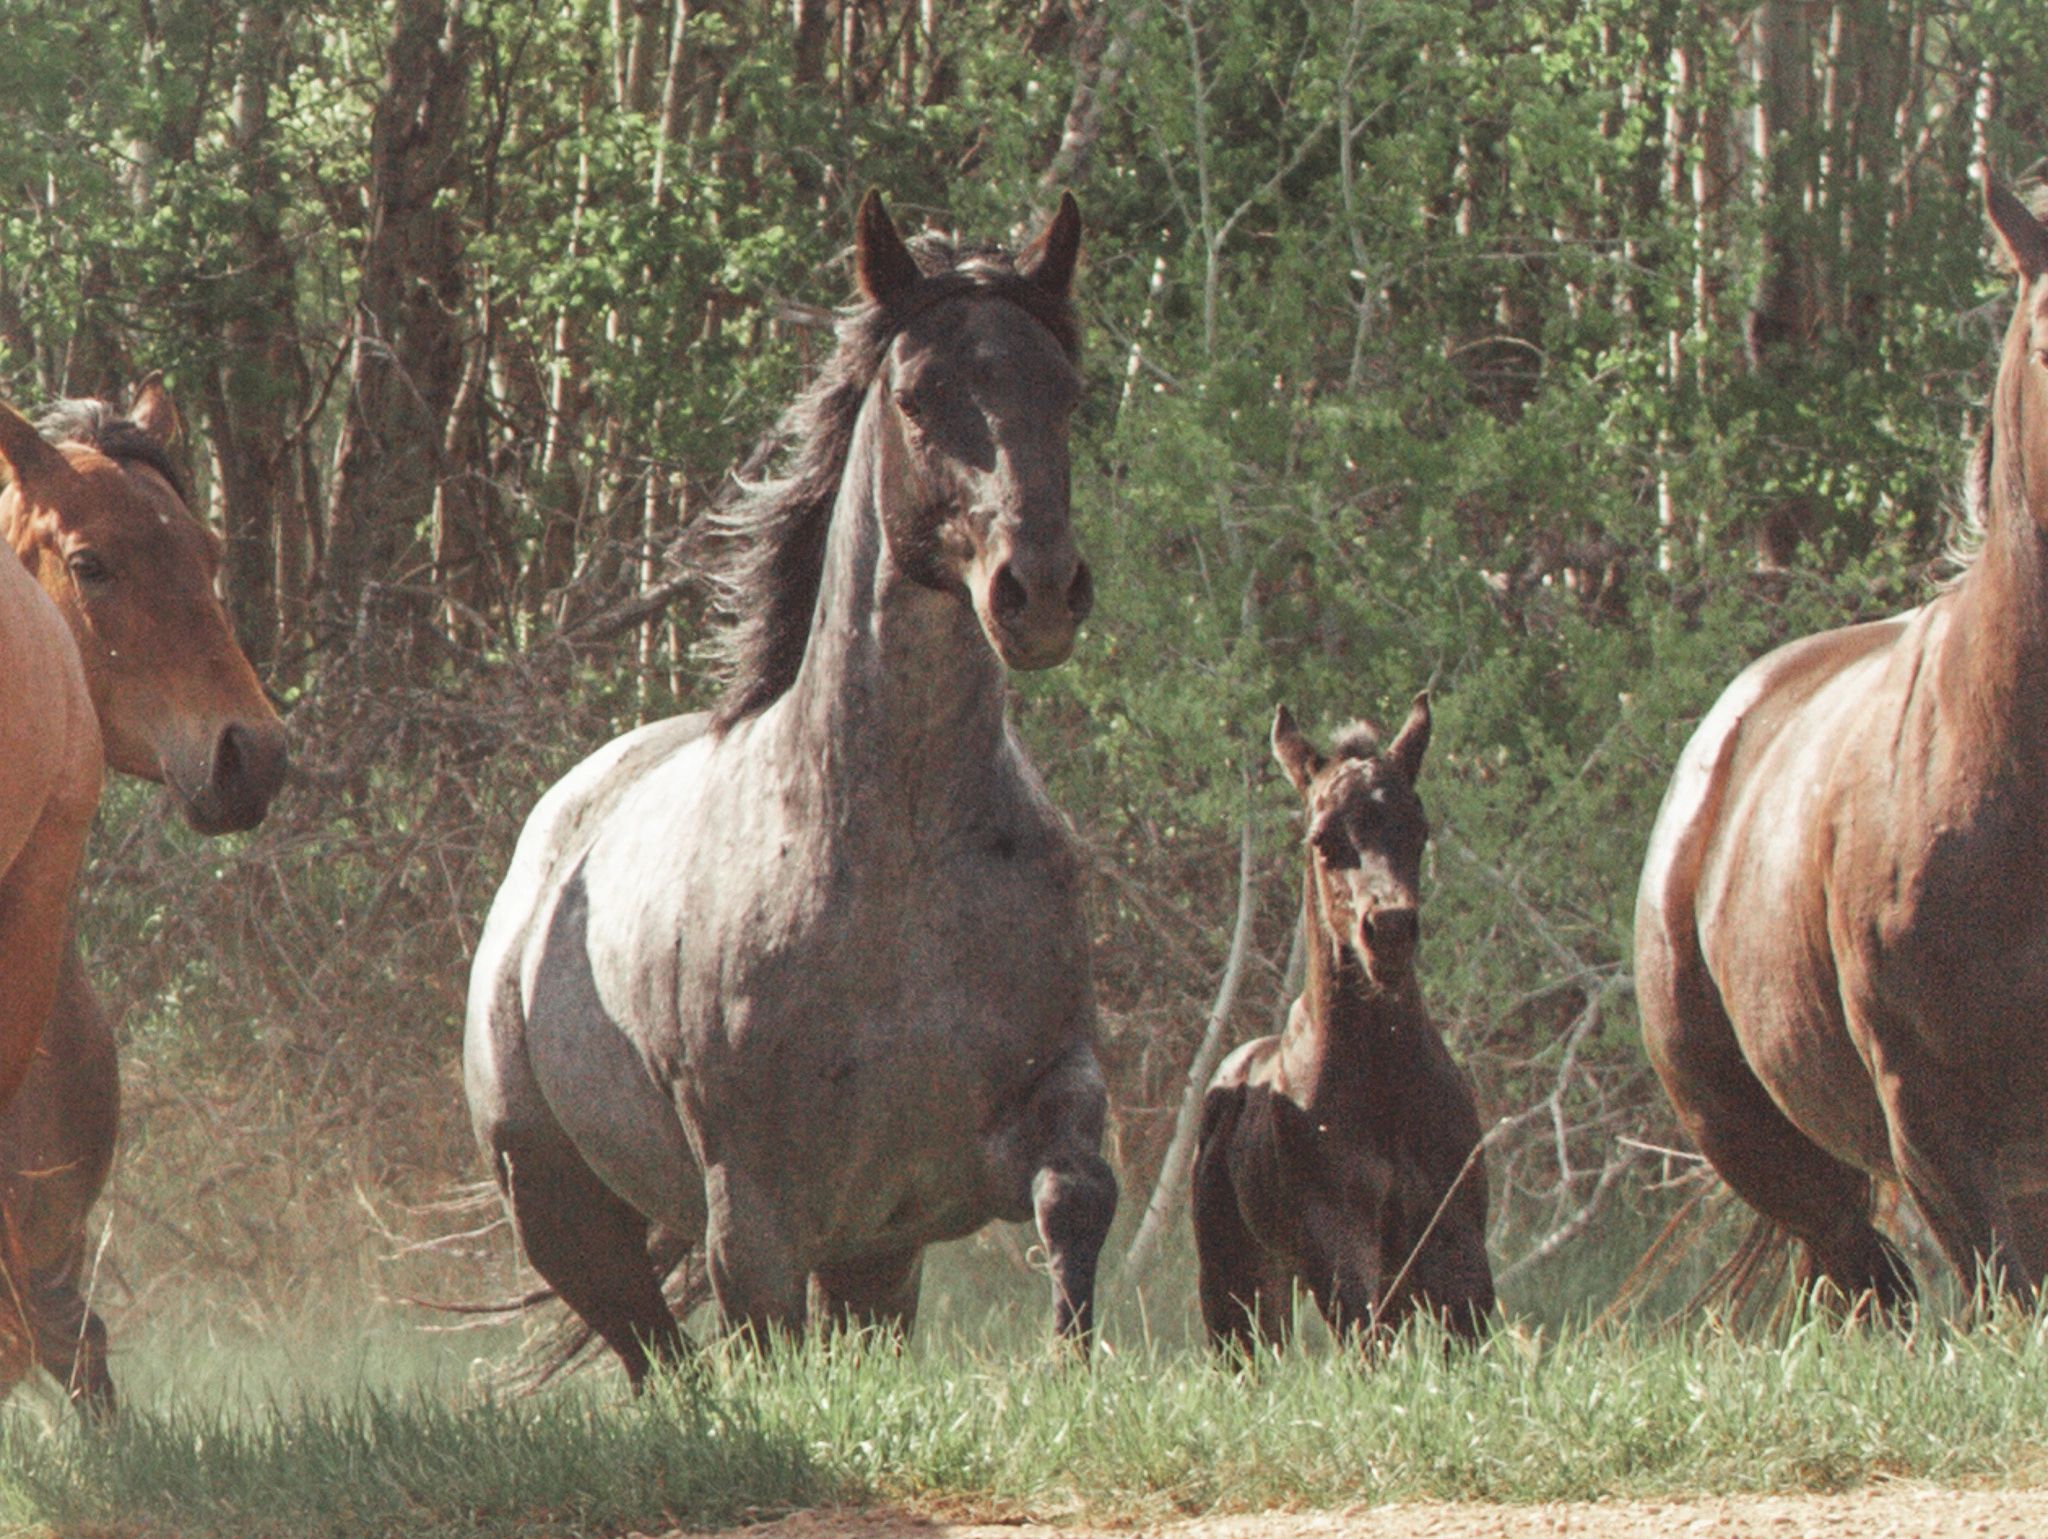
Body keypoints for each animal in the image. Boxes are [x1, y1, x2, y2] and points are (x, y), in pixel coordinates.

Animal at [466, 191, 1116, 1383]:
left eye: (1066, 389)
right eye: (918, 394)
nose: (1039, 590)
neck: (894, 849)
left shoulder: (1016, 1119)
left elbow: (1076, 1198)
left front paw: (1070, 1361)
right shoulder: (757, 1213)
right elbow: (762, 1330)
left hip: (873, 1262)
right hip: (562, 1215)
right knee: (659, 1357)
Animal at [1193, 697, 1494, 1354]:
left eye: (1417, 827)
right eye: (1323, 838)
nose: (1389, 931)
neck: (1384, 1084)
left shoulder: (1453, 1240)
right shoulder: (1337, 1243)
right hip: (1239, 1290)